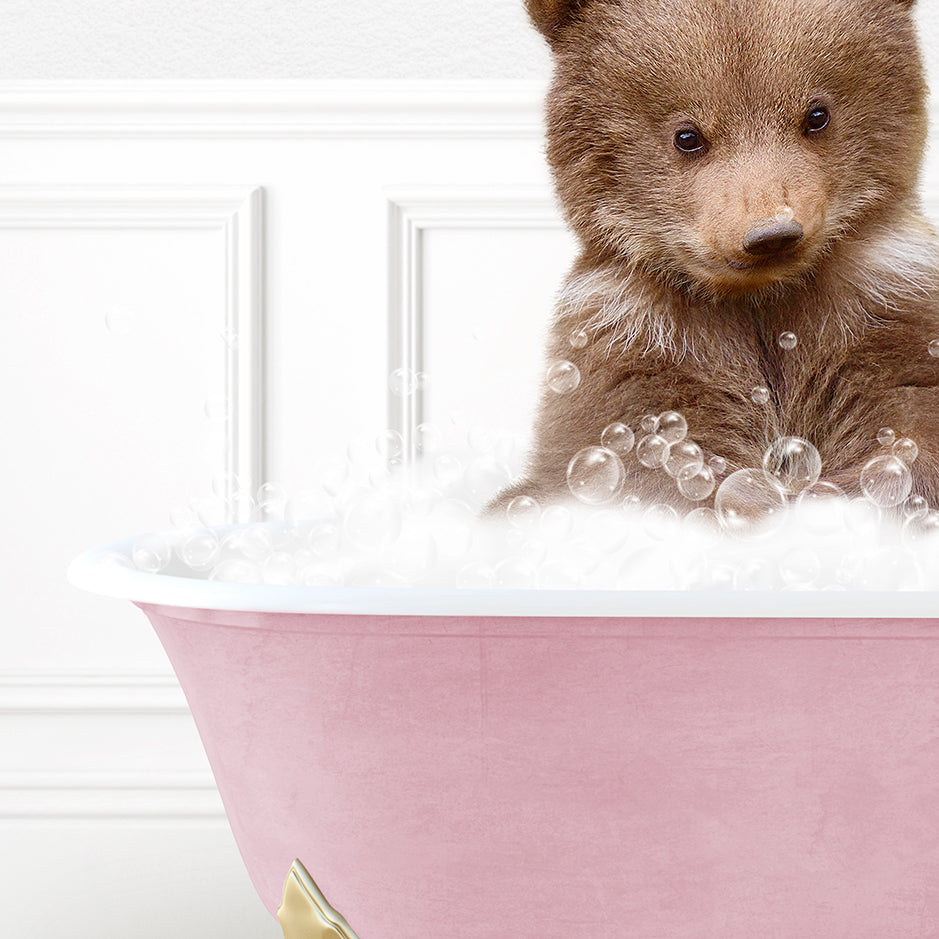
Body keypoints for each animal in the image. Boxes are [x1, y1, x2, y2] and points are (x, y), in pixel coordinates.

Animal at [492, 0, 939, 516]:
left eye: (817, 114)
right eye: (687, 136)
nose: (771, 234)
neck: (759, 299)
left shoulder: (882, 304)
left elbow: (905, 415)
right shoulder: (638, 342)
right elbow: (654, 456)